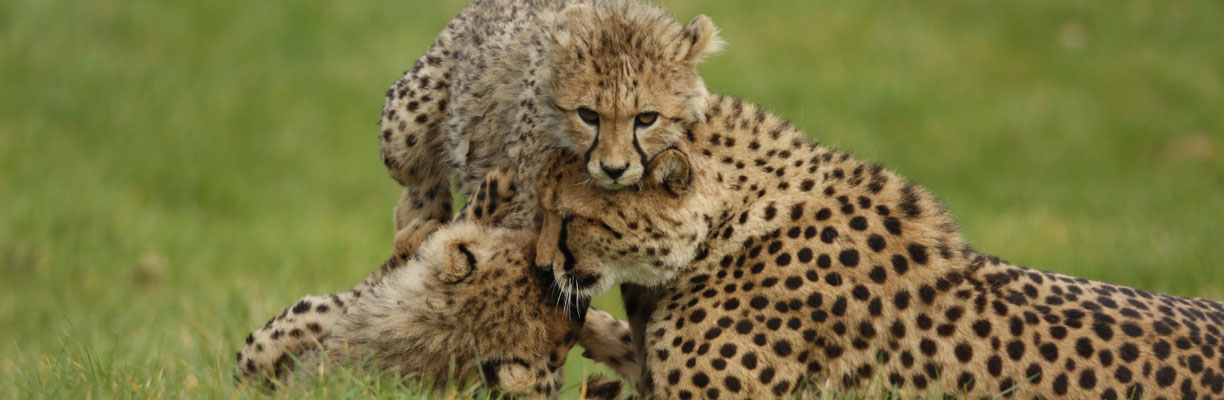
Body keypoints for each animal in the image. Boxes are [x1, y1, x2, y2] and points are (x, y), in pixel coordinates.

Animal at [372, 0, 714, 262]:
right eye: (588, 114)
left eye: (646, 118)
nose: (613, 169)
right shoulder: (524, 211)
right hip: (405, 125)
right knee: (420, 181)